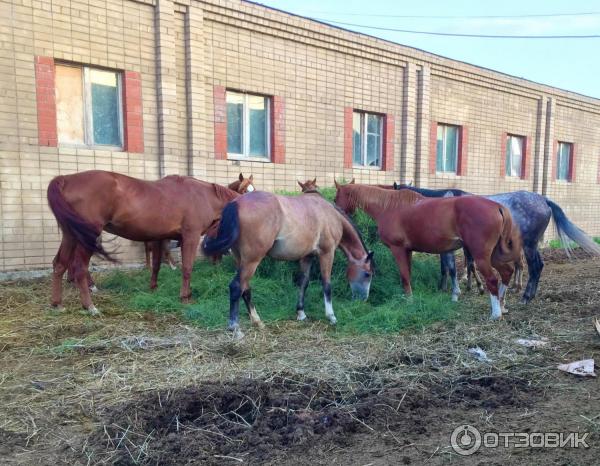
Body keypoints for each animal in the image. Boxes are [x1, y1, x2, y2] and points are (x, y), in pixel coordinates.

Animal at [47, 169, 239, 314]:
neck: (202, 195)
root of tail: (66, 179)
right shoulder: (190, 236)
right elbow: (186, 268)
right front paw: (185, 296)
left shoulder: (159, 238)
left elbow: (156, 265)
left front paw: (153, 288)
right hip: (86, 236)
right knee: (79, 268)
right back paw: (90, 306)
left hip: (71, 235)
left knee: (60, 264)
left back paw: (57, 304)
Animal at [202, 191, 372, 336]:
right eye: (367, 274)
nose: (363, 299)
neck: (329, 214)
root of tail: (236, 203)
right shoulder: (327, 253)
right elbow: (327, 285)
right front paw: (331, 316)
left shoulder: (307, 257)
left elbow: (303, 283)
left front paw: (301, 313)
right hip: (252, 260)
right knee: (237, 287)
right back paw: (235, 328)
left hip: (241, 259)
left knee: (245, 288)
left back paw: (257, 322)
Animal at [336, 182, 524, 320]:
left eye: (337, 197)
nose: (337, 210)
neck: (389, 206)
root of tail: (498, 207)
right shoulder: (408, 251)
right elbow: (408, 274)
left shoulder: (398, 249)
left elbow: (404, 277)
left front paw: (408, 301)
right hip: (495, 255)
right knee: (507, 272)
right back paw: (502, 304)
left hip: (481, 256)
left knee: (492, 279)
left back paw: (496, 313)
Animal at [394, 184, 600, 304]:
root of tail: (544, 200)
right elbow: (458, 266)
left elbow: (454, 267)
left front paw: (463, 289)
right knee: (538, 266)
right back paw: (528, 295)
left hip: (529, 245)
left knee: (534, 267)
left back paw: (525, 298)